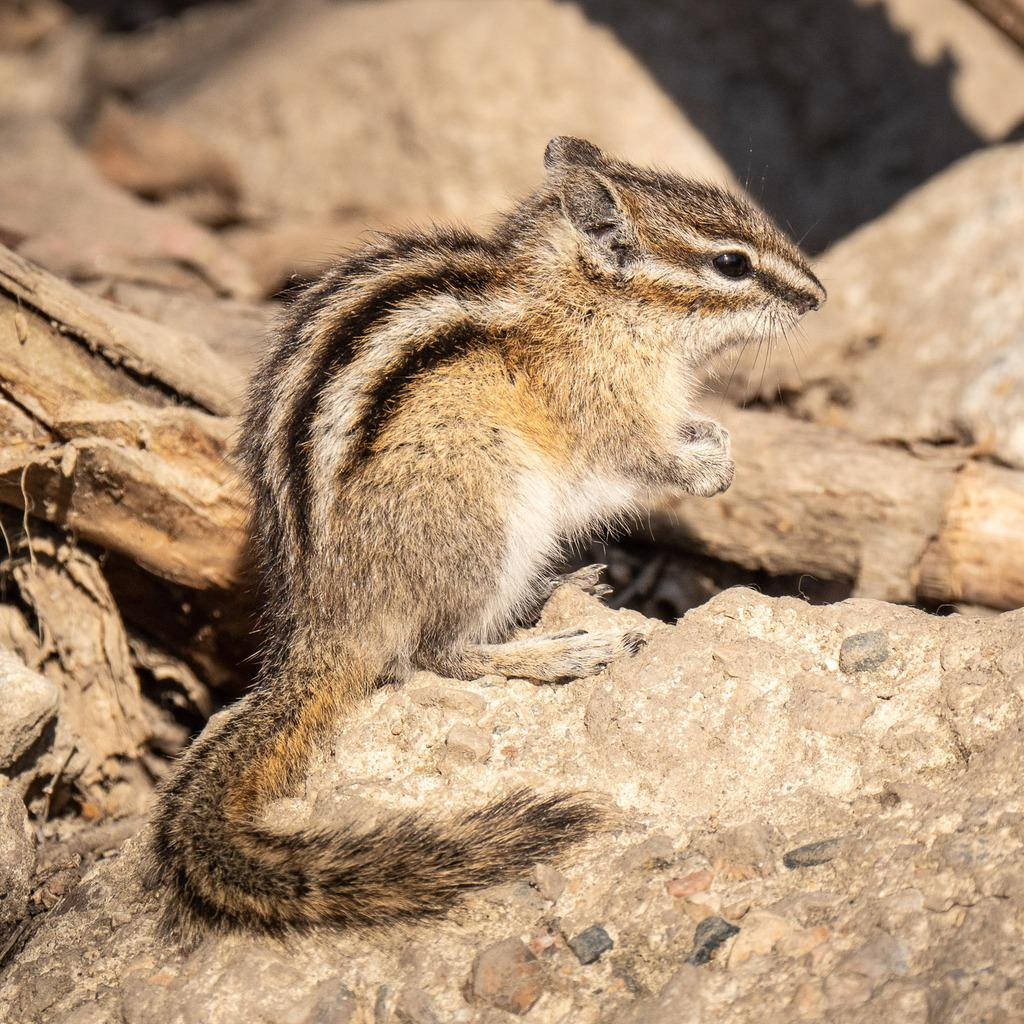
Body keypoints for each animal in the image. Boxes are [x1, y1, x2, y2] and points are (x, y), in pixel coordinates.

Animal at [149, 137, 825, 941]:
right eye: (730, 264)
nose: (818, 296)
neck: (593, 301)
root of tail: (324, 624)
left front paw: (712, 438)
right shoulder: (601, 405)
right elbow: (639, 455)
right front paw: (706, 466)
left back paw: (564, 587)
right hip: (485, 521)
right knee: (436, 654)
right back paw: (566, 651)